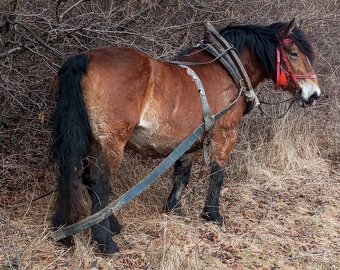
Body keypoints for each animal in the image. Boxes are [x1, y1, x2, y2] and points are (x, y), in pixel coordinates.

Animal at [51, 19, 320, 253]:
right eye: (293, 53)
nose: (314, 94)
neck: (229, 71)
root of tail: (85, 58)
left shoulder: (188, 140)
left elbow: (182, 174)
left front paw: (173, 209)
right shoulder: (225, 134)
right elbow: (217, 174)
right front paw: (212, 214)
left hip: (92, 139)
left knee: (85, 178)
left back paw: (102, 226)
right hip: (112, 140)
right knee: (99, 180)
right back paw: (105, 241)